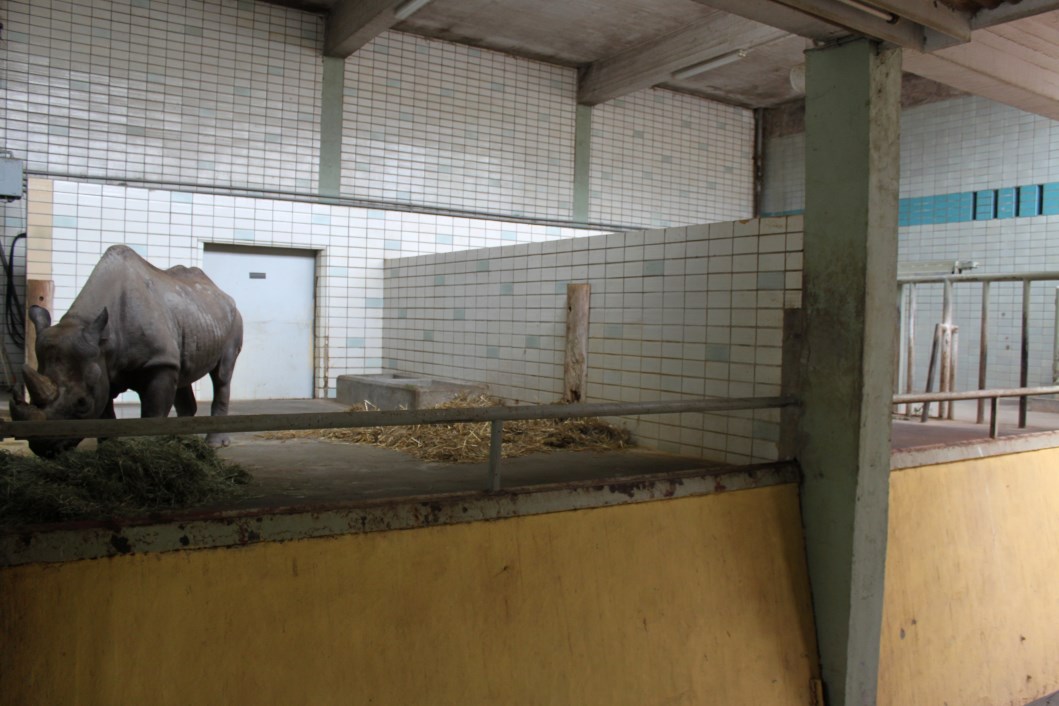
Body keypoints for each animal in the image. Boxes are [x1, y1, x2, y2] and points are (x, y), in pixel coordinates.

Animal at [11, 244, 243, 457]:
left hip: (233, 319)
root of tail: (221, 292)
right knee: (183, 374)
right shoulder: (101, 366)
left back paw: (214, 444)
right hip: (193, 317)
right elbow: (105, 416)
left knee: (222, 375)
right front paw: (109, 452)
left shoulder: (157, 363)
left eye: (82, 403)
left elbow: (153, 413)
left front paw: (150, 450)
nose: (42, 447)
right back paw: (183, 441)